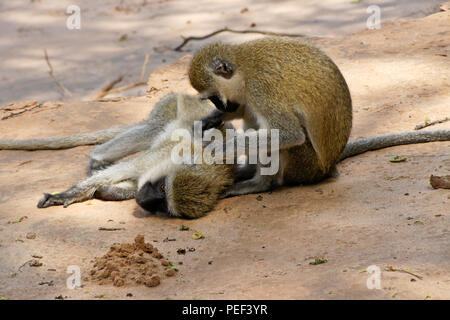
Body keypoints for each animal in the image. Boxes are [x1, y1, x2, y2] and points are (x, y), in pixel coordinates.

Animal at [189, 37, 450, 198]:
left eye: (213, 97)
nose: (221, 106)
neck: (244, 66)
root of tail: (328, 167)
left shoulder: (262, 90)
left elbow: (288, 134)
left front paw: (216, 148)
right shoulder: (248, 94)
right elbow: (245, 109)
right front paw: (212, 119)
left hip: (304, 166)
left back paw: (259, 184)